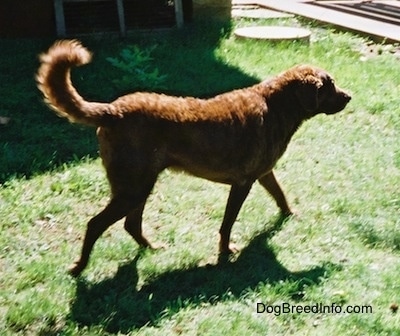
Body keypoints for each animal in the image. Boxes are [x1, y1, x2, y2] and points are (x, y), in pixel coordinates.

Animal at [36, 40, 350, 276]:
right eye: (331, 84)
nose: (349, 96)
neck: (278, 105)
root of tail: (112, 111)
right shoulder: (243, 183)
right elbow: (227, 224)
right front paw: (226, 252)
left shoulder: (264, 174)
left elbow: (280, 194)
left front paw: (290, 215)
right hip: (132, 187)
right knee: (95, 224)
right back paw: (79, 268)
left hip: (140, 185)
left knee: (131, 224)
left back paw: (152, 249)